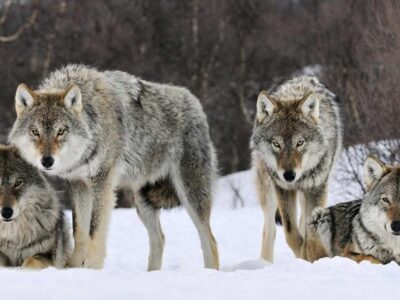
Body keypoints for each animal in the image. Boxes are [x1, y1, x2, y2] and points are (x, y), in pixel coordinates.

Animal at [9, 64, 220, 270]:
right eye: (35, 132)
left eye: (61, 131)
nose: (47, 161)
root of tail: (195, 103)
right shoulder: (78, 184)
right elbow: (79, 231)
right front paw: (74, 268)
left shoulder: (102, 183)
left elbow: (94, 232)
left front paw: (91, 269)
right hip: (143, 202)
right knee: (160, 239)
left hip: (190, 196)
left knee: (210, 241)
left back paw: (209, 272)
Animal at [250, 75, 340, 262]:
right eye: (276, 144)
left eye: (300, 142)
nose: (289, 175)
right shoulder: (283, 189)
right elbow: (291, 233)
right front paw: (303, 255)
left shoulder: (316, 189)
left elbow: (310, 235)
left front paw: (311, 256)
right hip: (268, 192)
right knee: (270, 230)